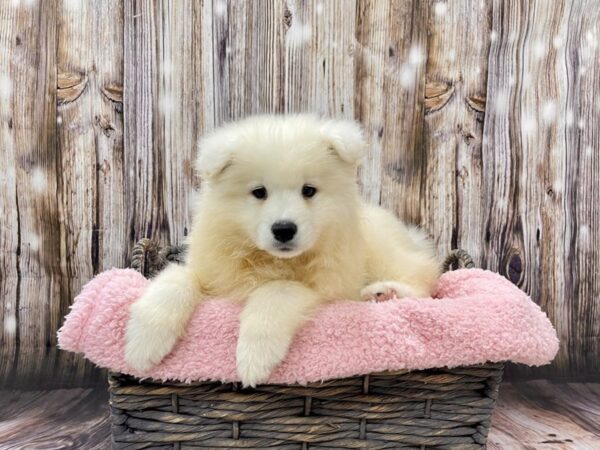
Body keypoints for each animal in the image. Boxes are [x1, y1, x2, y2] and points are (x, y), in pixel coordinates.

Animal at [124, 115, 438, 386]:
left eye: (308, 190)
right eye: (259, 192)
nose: (284, 229)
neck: (271, 259)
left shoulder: (324, 286)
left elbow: (277, 290)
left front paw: (254, 358)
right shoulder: (209, 271)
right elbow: (176, 279)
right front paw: (143, 344)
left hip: (383, 249)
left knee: (422, 277)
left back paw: (385, 293)